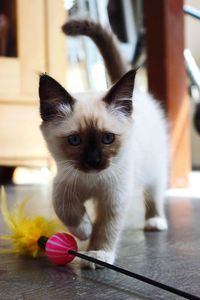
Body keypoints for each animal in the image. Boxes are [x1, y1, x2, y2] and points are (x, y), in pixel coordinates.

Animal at [38, 19, 167, 268]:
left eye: (107, 138)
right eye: (75, 140)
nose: (94, 161)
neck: (92, 180)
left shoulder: (115, 197)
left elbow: (107, 228)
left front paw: (98, 254)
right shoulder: (64, 182)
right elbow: (64, 208)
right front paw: (84, 230)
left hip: (155, 169)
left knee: (154, 194)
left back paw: (155, 222)